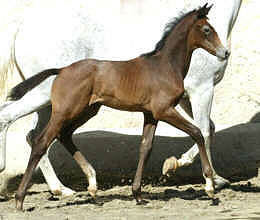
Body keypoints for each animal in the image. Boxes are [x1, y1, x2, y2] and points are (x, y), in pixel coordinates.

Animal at [11, 4, 229, 209]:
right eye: (207, 29)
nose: (225, 52)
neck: (165, 66)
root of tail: (62, 70)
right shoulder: (164, 110)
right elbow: (197, 132)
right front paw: (210, 186)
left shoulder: (150, 115)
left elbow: (145, 147)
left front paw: (138, 194)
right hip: (65, 111)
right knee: (41, 141)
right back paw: (21, 199)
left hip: (87, 111)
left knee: (64, 135)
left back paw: (92, 185)